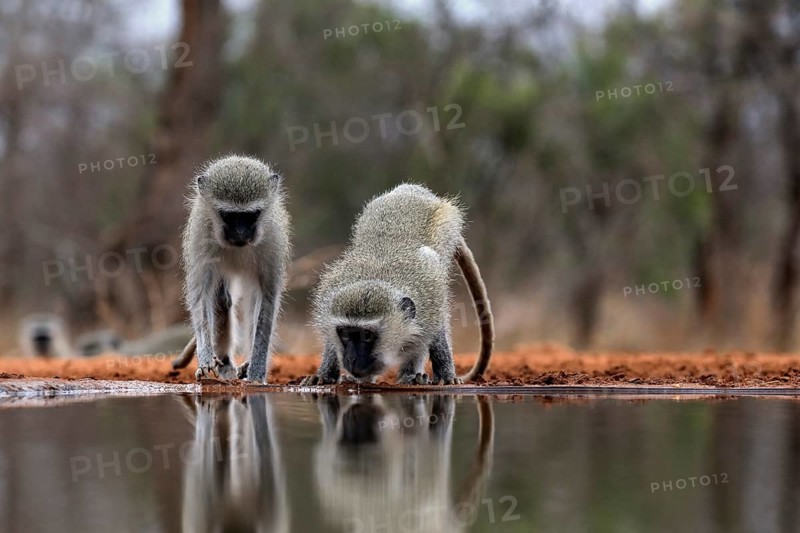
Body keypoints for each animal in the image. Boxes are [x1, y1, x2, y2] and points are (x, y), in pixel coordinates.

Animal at [171, 155, 291, 383]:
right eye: (229, 216)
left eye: (251, 216)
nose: (241, 234)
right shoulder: (201, 233)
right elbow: (201, 295)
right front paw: (206, 358)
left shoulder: (272, 238)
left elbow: (267, 299)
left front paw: (257, 370)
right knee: (222, 300)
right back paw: (225, 362)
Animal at [301, 183, 493, 386]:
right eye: (345, 334)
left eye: (366, 335)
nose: (351, 359)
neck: (376, 279)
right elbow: (330, 341)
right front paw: (325, 375)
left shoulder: (430, 296)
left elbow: (435, 331)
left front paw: (445, 375)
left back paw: (411, 376)